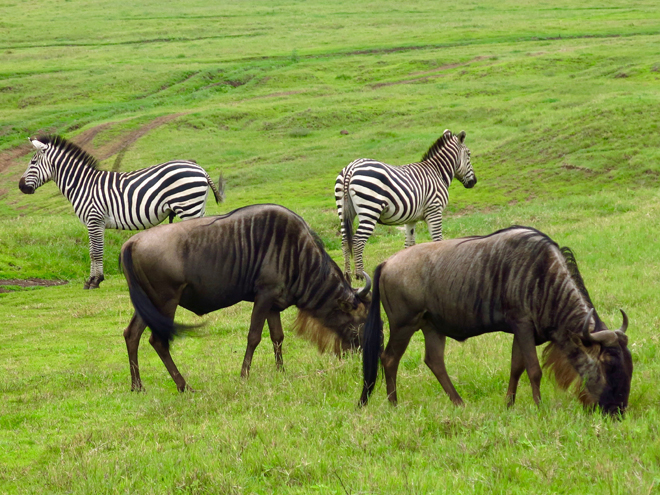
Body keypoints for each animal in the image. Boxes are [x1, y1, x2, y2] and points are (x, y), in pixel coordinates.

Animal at [19, 136, 226, 290]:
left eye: (33, 162)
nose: (21, 187)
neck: (82, 185)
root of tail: (200, 169)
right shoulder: (93, 223)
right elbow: (92, 251)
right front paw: (91, 280)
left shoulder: (95, 220)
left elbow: (95, 252)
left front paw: (95, 281)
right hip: (197, 207)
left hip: (188, 206)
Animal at [336, 130, 474, 280]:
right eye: (469, 154)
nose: (474, 182)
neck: (437, 173)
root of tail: (351, 168)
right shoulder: (434, 209)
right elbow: (437, 240)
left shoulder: (411, 219)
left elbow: (409, 244)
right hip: (370, 209)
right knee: (357, 241)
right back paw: (360, 275)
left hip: (344, 211)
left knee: (344, 241)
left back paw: (347, 275)